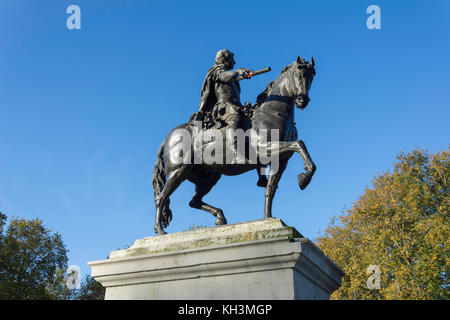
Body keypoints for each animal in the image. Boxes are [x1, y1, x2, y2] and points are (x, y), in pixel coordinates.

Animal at [151, 55, 316, 235]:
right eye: (298, 75)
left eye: (311, 78)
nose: (302, 100)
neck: (272, 113)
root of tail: (168, 138)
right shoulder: (264, 148)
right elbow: (299, 144)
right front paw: (304, 178)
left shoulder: (281, 160)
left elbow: (270, 189)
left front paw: (268, 217)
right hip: (178, 171)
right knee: (161, 198)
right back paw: (160, 230)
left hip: (209, 176)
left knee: (194, 201)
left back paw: (220, 217)